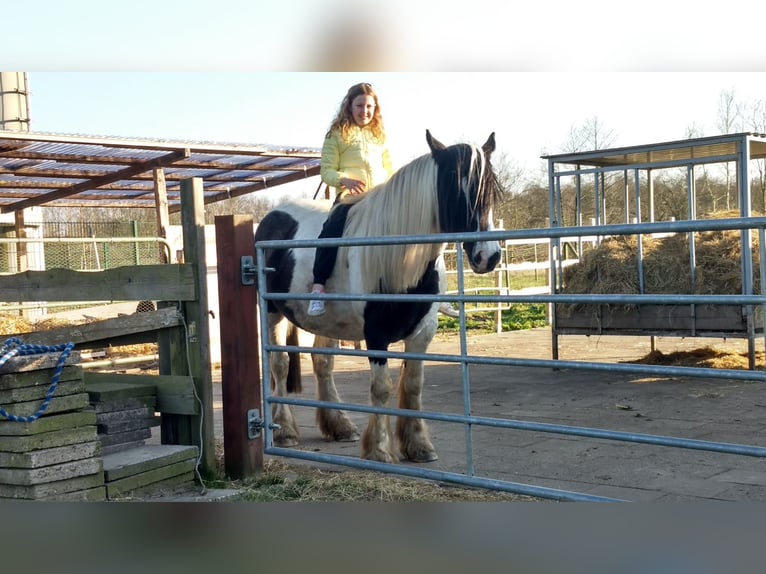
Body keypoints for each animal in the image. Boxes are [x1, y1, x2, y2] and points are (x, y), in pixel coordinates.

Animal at [252, 129, 504, 464]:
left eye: (491, 188)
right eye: (454, 187)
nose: (488, 256)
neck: (400, 258)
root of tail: (271, 218)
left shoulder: (423, 332)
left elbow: (413, 386)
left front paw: (419, 445)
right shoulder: (376, 334)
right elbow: (381, 388)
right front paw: (380, 449)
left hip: (326, 322)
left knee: (322, 363)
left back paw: (340, 425)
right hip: (272, 314)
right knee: (279, 365)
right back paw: (285, 431)